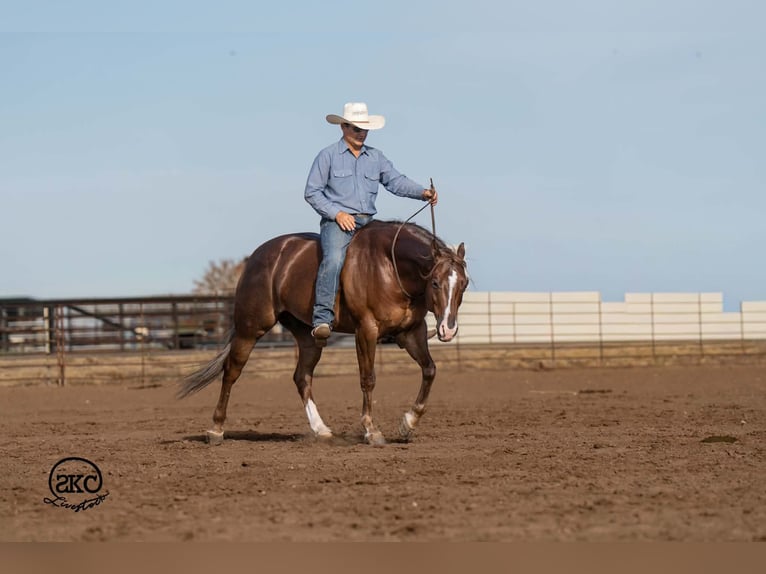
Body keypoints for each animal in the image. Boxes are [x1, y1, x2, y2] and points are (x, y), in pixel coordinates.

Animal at [178, 219, 469, 445]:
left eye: (464, 284)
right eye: (435, 282)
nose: (448, 328)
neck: (389, 265)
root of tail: (259, 256)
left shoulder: (411, 332)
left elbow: (429, 370)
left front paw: (408, 423)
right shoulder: (366, 330)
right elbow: (368, 379)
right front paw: (371, 430)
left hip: (308, 336)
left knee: (301, 377)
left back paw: (321, 430)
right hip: (251, 328)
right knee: (231, 371)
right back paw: (216, 430)